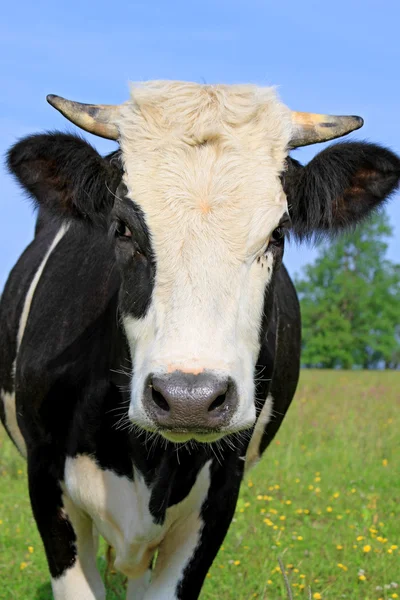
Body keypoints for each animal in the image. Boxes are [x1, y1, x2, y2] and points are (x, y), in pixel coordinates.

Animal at [0, 81, 398, 600]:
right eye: (122, 227)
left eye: (278, 233)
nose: (188, 397)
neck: (145, 461)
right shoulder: (45, 480)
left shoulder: (222, 490)